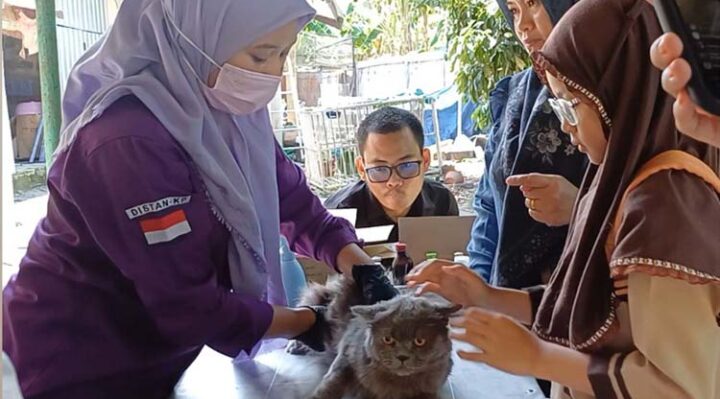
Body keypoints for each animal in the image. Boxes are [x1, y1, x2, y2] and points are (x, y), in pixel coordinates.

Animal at [294, 278, 458, 399]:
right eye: (388, 339)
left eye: (419, 341)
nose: (402, 356)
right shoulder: (345, 357)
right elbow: (330, 386)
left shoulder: (429, 389)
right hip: (321, 298)